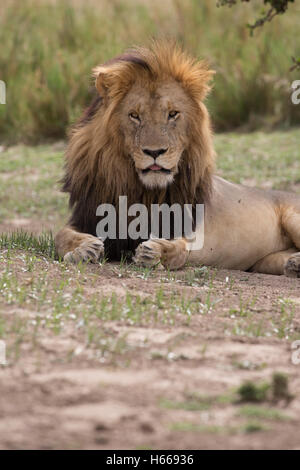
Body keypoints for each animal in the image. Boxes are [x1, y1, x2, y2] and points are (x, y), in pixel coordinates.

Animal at [55, 42, 300, 278]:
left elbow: (180, 248)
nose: (155, 152)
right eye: (134, 116)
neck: (143, 192)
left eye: (173, 114)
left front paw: (154, 253)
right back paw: (293, 264)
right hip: (264, 261)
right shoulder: (87, 216)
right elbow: (61, 234)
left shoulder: (189, 226)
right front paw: (83, 249)